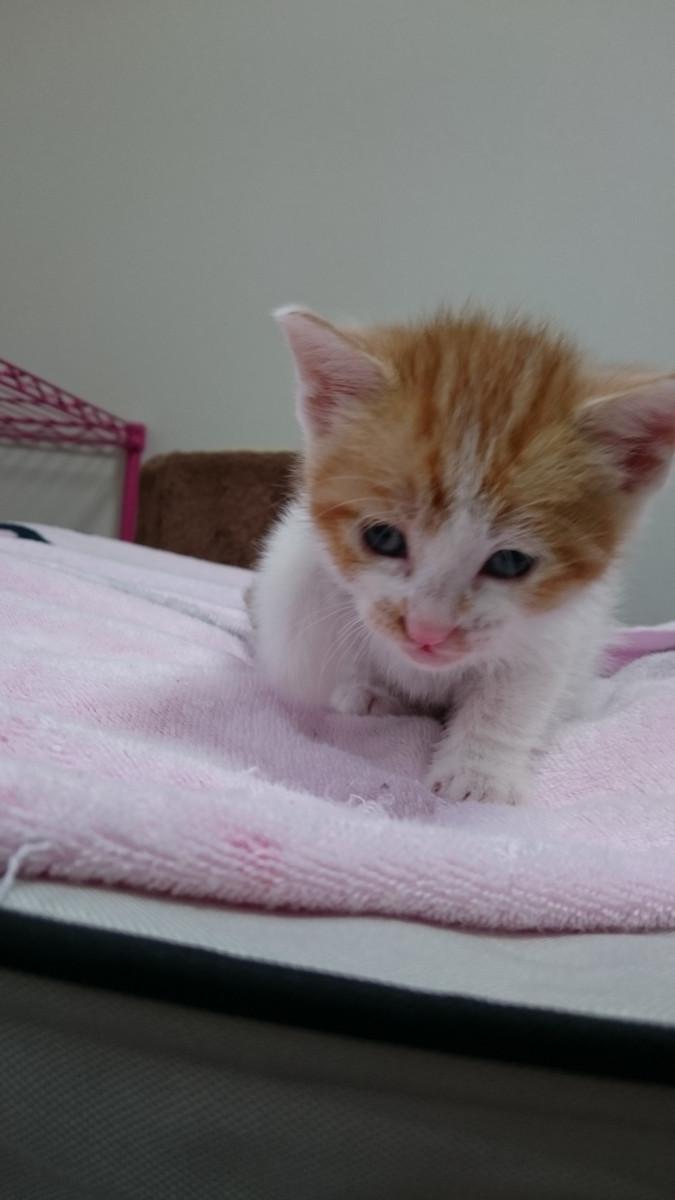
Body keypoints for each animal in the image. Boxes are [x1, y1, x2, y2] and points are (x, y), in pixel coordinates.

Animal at [251, 305, 675, 805]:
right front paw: (363, 691)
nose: (426, 631)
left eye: (510, 562)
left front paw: (478, 774)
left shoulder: (553, 628)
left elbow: (515, 692)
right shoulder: (304, 596)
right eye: (383, 538)